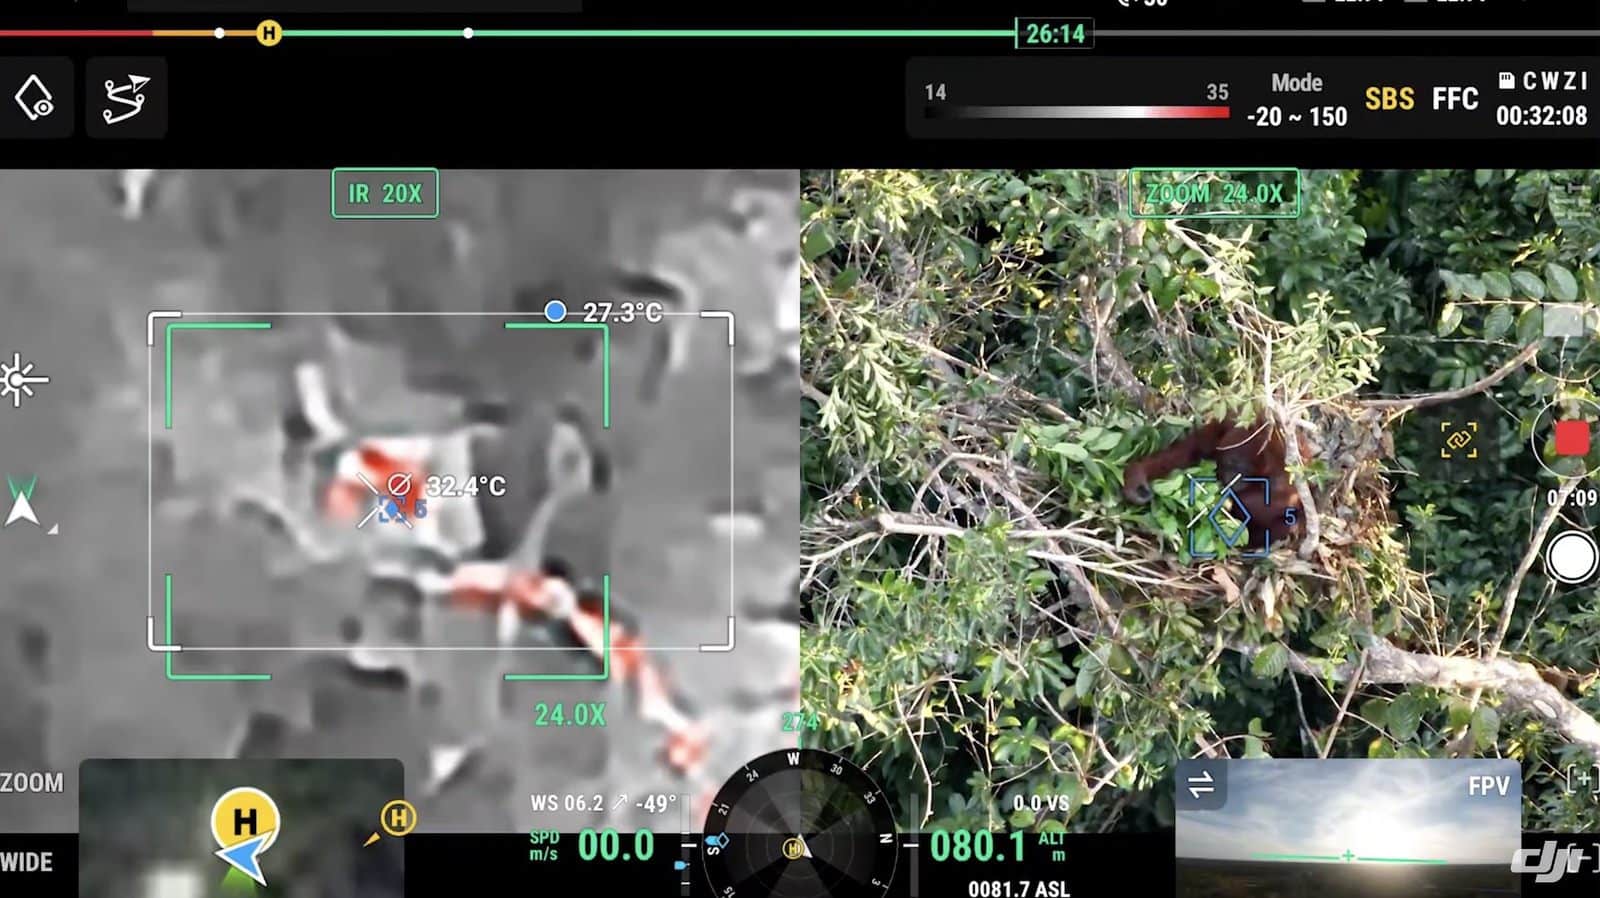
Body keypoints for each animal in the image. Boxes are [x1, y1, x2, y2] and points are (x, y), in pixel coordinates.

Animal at [1121, 418, 1308, 554]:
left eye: (1243, 471)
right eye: (1231, 463)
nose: (1231, 477)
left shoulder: (1284, 473)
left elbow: (1276, 503)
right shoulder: (1221, 427)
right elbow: (1189, 451)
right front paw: (1137, 475)